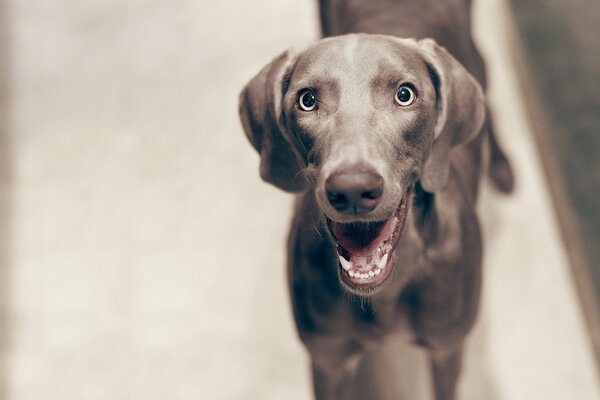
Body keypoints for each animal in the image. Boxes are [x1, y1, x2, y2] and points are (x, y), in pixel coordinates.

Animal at [237, 1, 512, 398]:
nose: (352, 189)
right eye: (307, 100)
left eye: (405, 94)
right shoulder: (328, 360)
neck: (388, 289)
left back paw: (502, 163)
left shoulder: (447, 349)